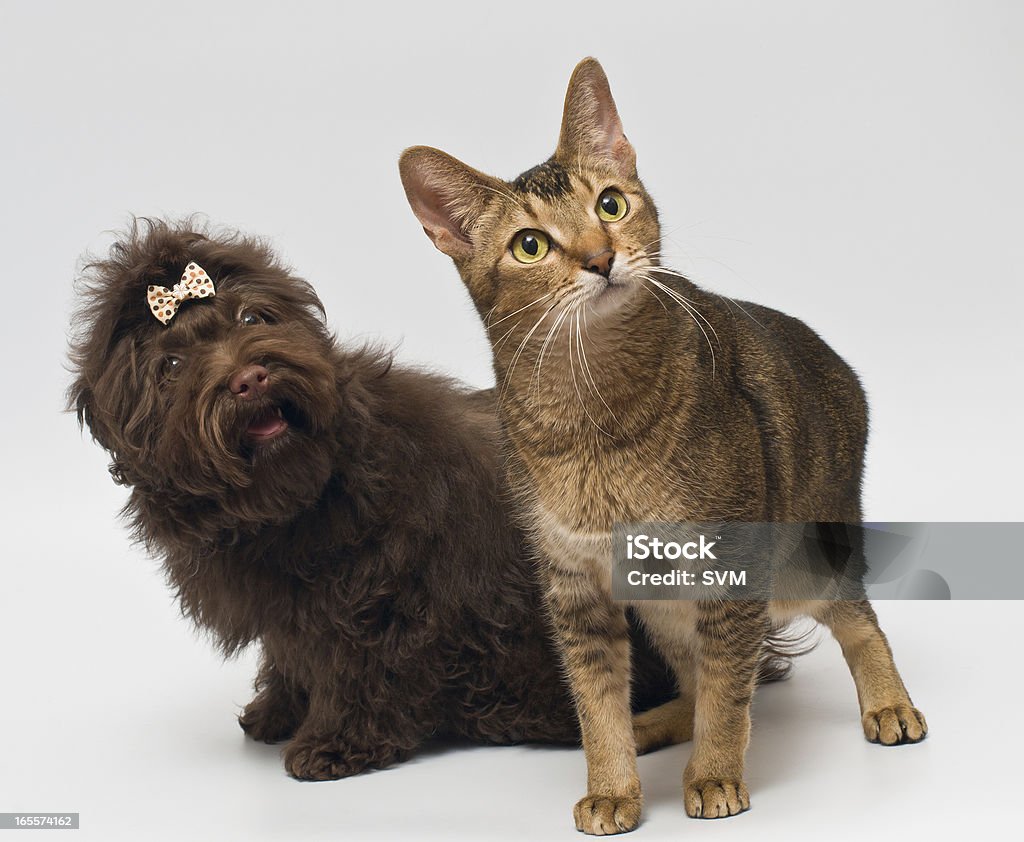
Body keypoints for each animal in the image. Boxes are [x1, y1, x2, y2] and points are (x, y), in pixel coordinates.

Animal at [399, 60, 929, 835]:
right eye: (530, 245)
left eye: (611, 203)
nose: (601, 258)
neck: (591, 415)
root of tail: (836, 365)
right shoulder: (575, 588)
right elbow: (599, 704)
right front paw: (614, 786)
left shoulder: (730, 565)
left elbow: (731, 691)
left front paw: (714, 775)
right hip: (659, 596)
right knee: (698, 673)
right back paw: (656, 721)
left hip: (797, 558)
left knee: (852, 614)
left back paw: (888, 702)